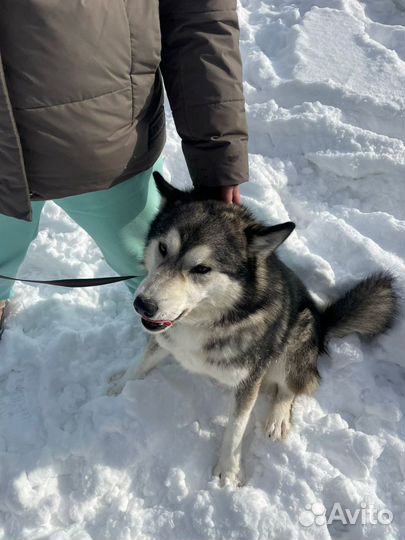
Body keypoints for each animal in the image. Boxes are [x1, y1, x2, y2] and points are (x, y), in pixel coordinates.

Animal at [109, 172, 396, 486]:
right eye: (162, 248)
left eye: (202, 269)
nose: (143, 305)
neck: (208, 321)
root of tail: (322, 322)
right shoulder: (164, 337)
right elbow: (141, 362)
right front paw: (120, 385)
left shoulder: (249, 380)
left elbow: (236, 427)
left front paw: (228, 469)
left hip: (296, 339)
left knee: (295, 386)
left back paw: (278, 417)